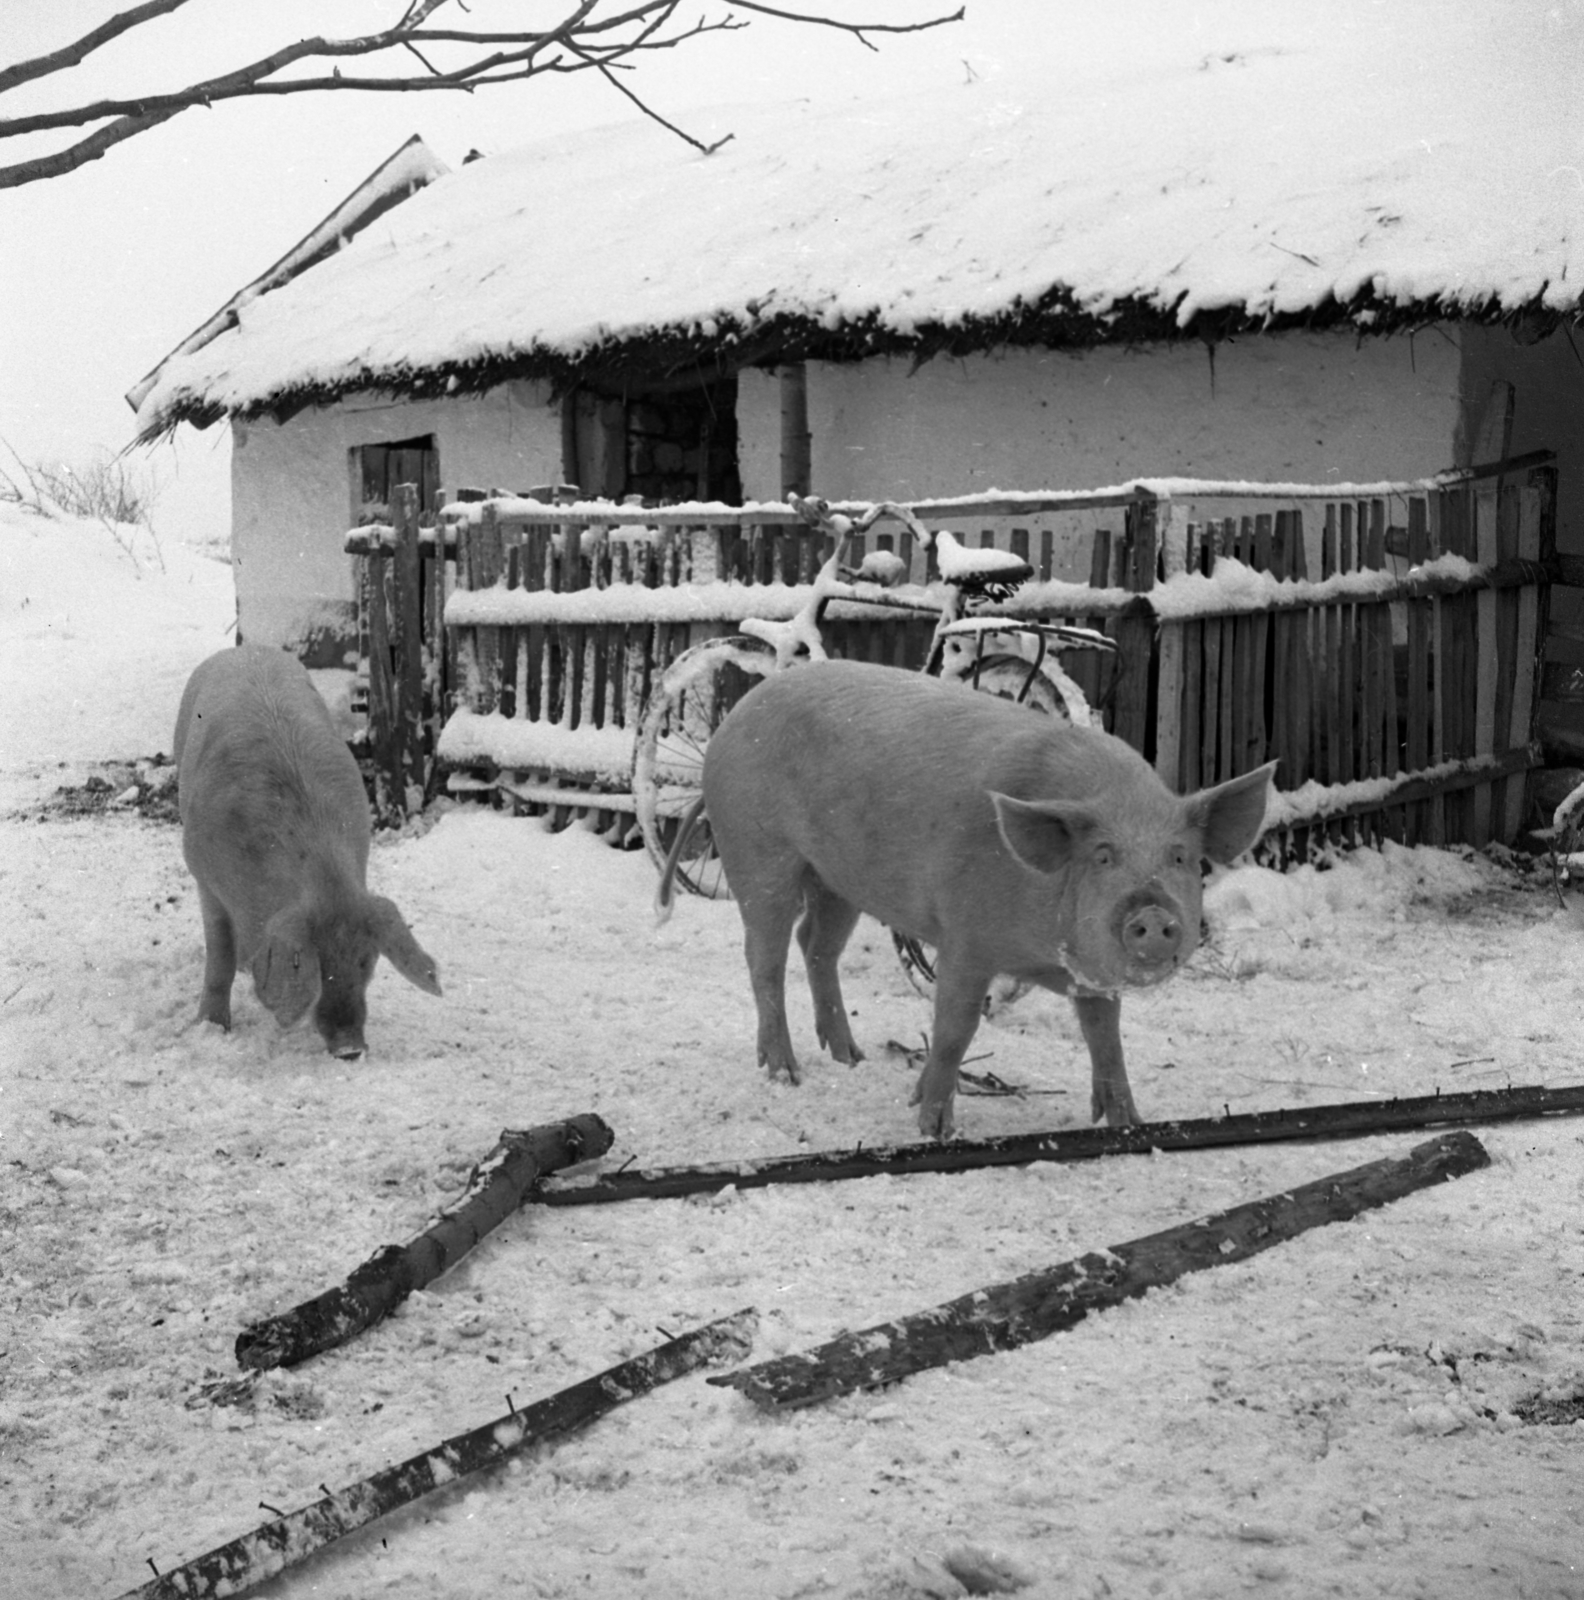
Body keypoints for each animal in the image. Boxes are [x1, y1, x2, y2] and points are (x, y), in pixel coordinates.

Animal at [173, 643, 441, 1056]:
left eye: (367, 963)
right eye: (317, 966)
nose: (350, 1049)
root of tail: (246, 649)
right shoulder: (203, 873)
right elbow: (219, 955)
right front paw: (210, 1029)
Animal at [697, 659, 1280, 1139]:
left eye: (1180, 857)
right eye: (1103, 856)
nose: (1154, 913)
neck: (1044, 957)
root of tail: (736, 715)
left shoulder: (1090, 975)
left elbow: (1105, 1038)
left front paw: (1128, 1125)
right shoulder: (964, 939)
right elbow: (955, 1029)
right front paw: (933, 1128)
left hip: (837, 879)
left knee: (816, 945)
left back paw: (851, 1058)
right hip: (757, 852)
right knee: (764, 957)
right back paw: (785, 1073)